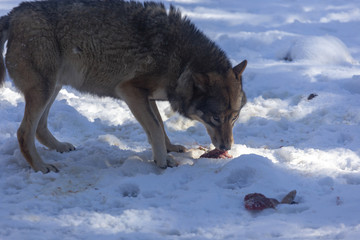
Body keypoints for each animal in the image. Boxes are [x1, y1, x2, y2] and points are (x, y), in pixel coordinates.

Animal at [0, 0, 248, 172]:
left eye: (234, 118)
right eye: (215, 118)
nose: (226, 148)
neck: (181, 60)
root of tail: (13, 14)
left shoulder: (146, 97)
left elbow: (159, 125)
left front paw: (170, 148)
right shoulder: (130, 91)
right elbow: (155, 127)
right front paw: (163, 160)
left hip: (54, 87)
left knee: (39, 128)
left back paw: (59, 147)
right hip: (44, 89)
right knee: (24, 132)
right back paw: (41, 167)